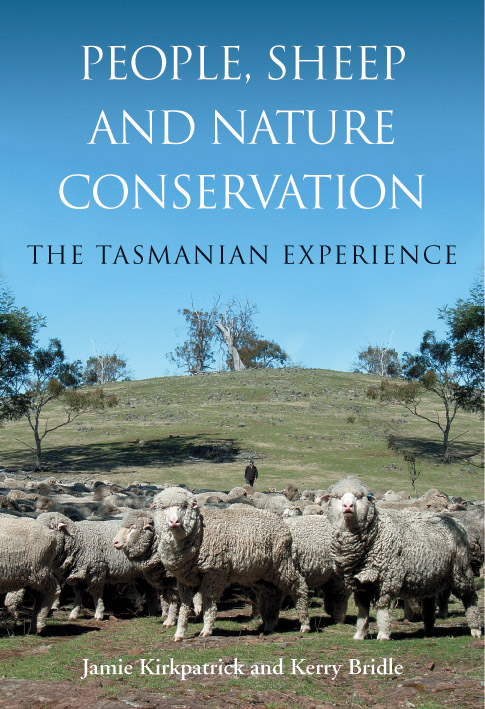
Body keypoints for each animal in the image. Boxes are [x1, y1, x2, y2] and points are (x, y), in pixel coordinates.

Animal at [151, 486, 310, 640]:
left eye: (184, 506)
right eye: (163, 507)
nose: (174, 522)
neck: (199, 532)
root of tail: (281, 522)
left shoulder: (214, 572)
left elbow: (209, 600)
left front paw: (206, 629)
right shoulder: (185, 577)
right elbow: (184, 604)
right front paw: (179, 632)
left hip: (281, 563)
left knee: (298, 584)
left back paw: (305, 624)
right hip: (261, 572)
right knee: (272, 592)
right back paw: (270, 625)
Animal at [322, 478, 480, 640]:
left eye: (360, 497)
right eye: (337, 497)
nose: (348, 506)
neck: (377, 532)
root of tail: (455, 520)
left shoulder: (387, 579)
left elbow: (382, 608)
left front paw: (383, 633)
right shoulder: (360, 583)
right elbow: (363, 611)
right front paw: (360, 633)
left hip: (460, 571)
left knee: (470, 599)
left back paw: (475, 629)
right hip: (431, 575)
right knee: (429, 601)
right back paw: (428, 628)